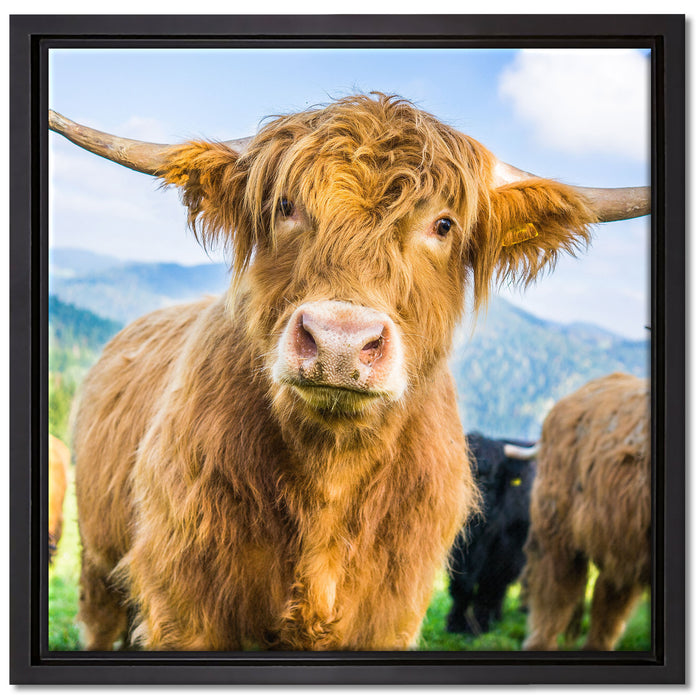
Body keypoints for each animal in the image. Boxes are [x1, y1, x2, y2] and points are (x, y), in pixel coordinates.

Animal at [446, 432, 536, 636]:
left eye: (492, 477)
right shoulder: (458, 553)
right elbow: (461, 587)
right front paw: (455, 624)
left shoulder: (505, 553)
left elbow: (488, 588)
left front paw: (478, 627)